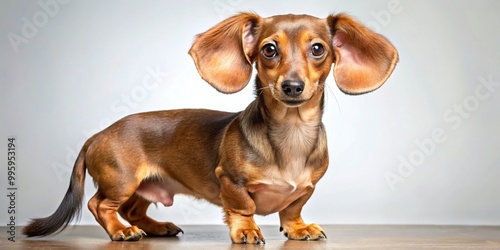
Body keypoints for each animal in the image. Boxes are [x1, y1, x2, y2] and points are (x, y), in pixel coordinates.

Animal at [22, 12, 398, 244]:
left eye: (318, 48)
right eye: (269, 49)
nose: (292, 86)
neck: (289, 134)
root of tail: (97, 135)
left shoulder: (307, 188)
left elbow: (293, 208)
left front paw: (298, 228)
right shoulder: (230, 181)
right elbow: (243, 208)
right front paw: (246, 231)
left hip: (144, 186)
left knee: (132, 210)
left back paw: (156, 227)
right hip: (121, 180)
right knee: (100, 205)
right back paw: (121, 231)